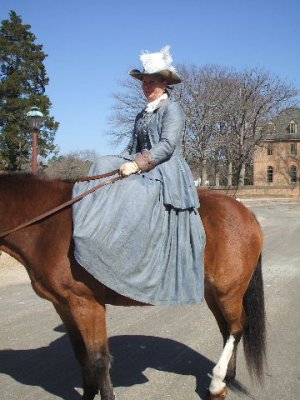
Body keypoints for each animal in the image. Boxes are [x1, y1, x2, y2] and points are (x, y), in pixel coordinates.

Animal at [0, 173, 266, 400]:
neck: (49, 227)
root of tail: (244, 211)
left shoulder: (87, 303)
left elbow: (98, 360)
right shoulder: (64, 305)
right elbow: (82, 356)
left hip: (228, 291)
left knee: (237, 327)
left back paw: (218, 382)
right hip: (213, 293)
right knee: (226, 328)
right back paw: (224, 382)